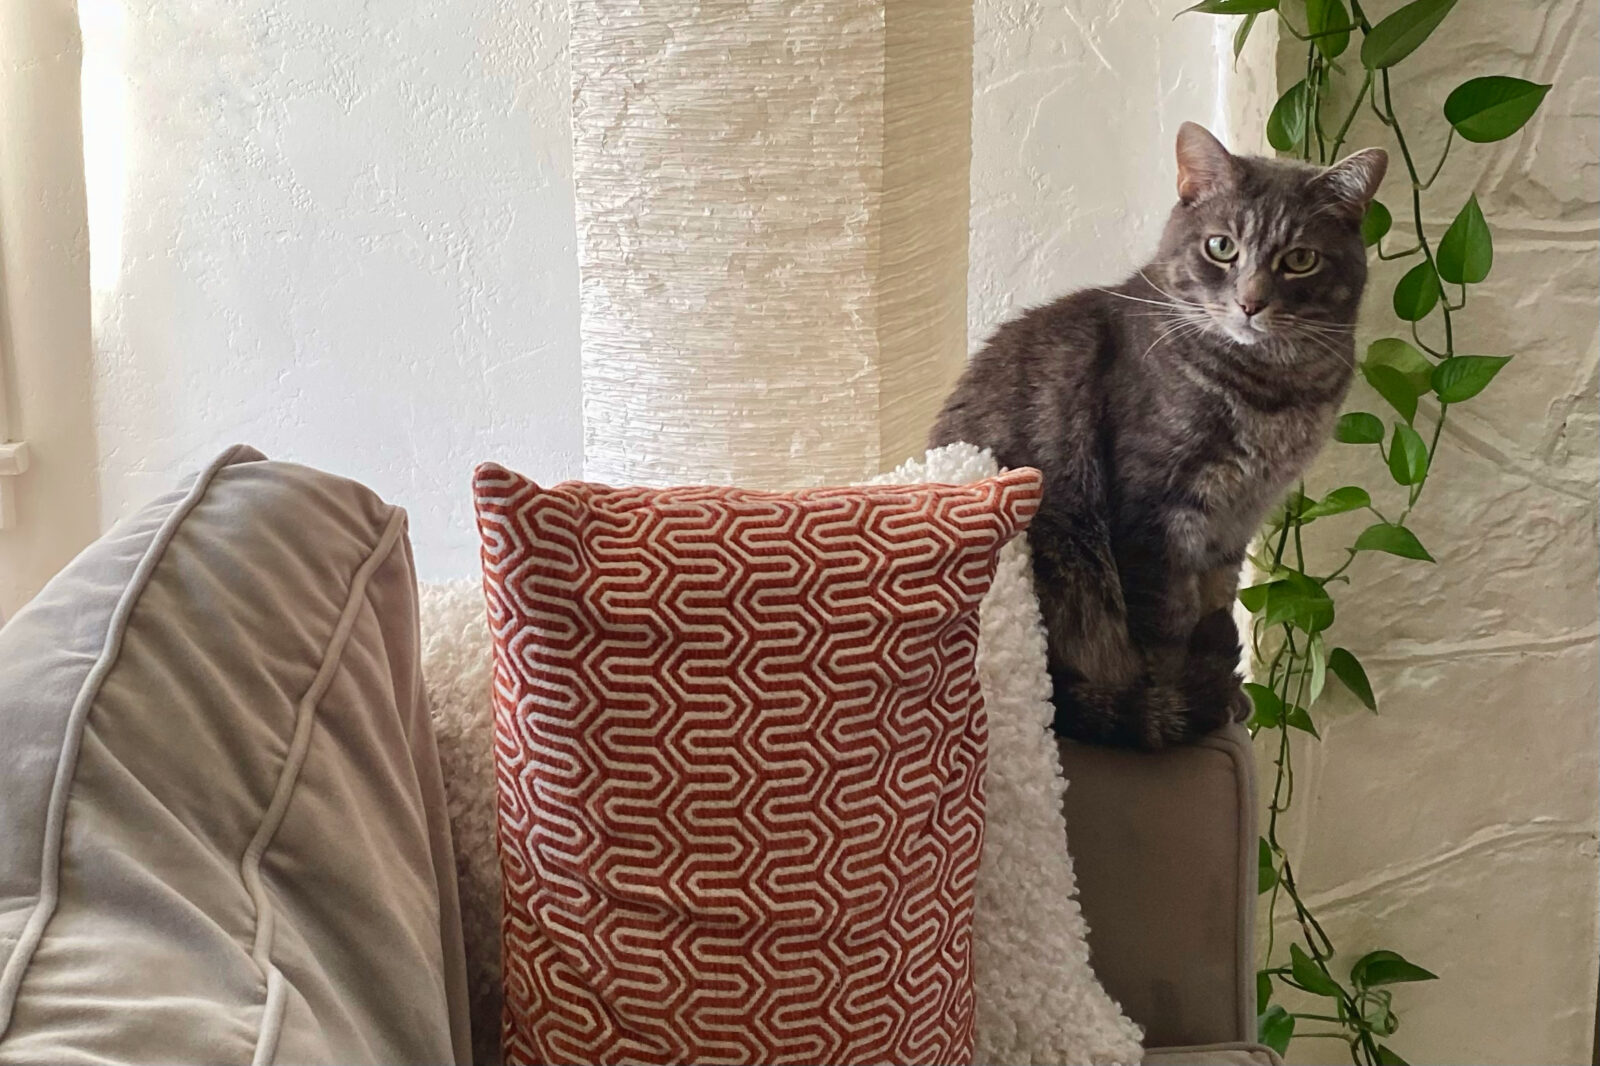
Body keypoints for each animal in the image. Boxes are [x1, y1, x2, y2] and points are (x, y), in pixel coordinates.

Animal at [934, 120, 1382, 742]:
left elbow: (1215, 598)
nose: (1250, 302)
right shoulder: (1155, 513)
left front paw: (1225, 694)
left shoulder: (1235, 521)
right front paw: (1181, 696)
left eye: (1299, 259)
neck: (1273, 391)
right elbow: (1166, 625)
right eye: (1222, 247)